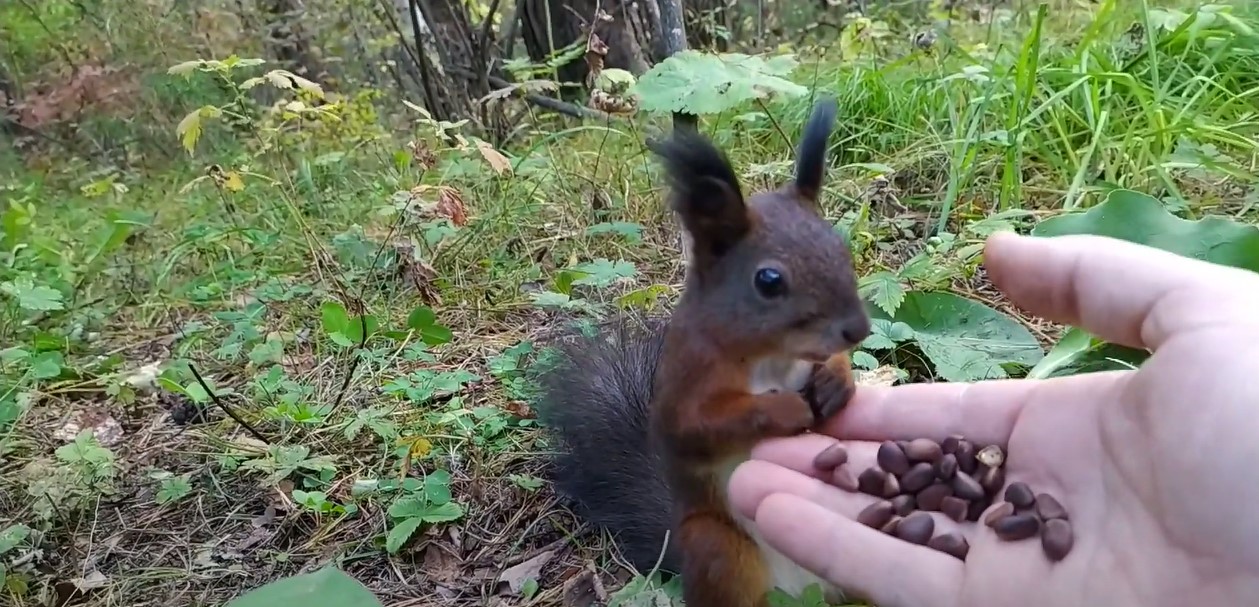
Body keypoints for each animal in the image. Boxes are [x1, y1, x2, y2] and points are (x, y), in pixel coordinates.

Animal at [533, 99, 876, 607]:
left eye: (842, 246)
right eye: (768, 281)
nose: (858, 328)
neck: (772, 356)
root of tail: (801, 592)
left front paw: (837, 380)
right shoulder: (690, 374)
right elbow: (695, 426)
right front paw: (781, 408)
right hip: (719, 550)